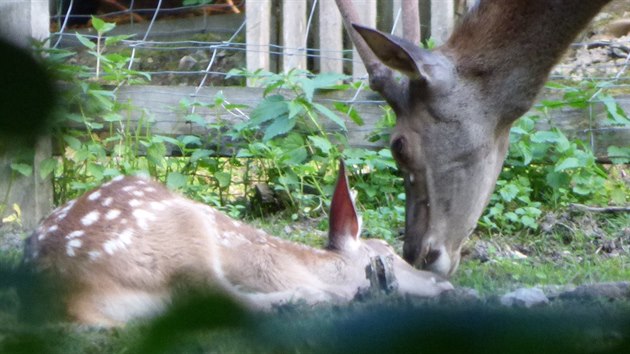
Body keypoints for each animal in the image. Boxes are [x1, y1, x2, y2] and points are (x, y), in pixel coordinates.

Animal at [21, 162, 454, 324]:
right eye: (390, 255)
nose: (445, 283)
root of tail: (69, 292)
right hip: (185, 235)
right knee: (219, 299)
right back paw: (315, 299)